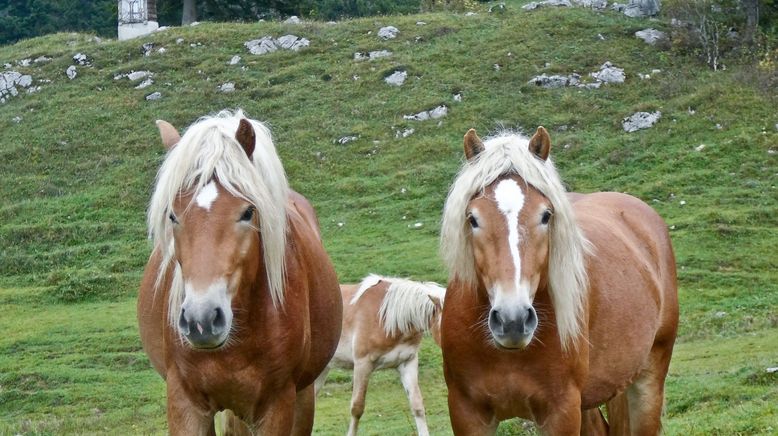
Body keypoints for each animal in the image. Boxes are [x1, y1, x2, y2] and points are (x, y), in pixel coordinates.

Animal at [440, 127, 676, 434]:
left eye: (545, 215)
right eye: (473, 218)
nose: (512, 320)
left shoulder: (560, 412)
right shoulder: (467, 413)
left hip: (648, 380)